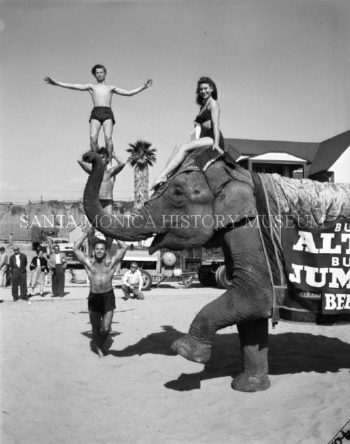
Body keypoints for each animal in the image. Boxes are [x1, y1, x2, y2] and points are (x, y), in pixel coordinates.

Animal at [82, 149, 350, 392]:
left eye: (177, 194)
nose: (90, 156)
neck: (237, 174)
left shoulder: (252, 233)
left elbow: (252, 295)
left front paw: (185, 352)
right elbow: (251, 314)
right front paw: (248, 387)